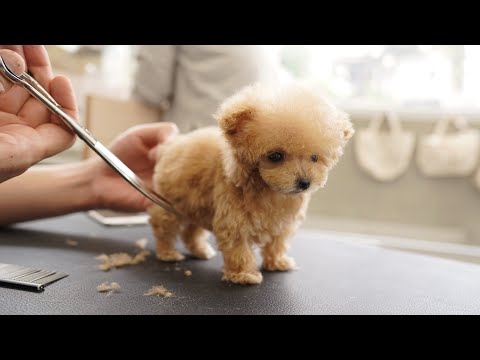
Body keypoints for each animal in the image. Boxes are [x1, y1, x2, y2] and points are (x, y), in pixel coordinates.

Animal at [148, 83, 354, 284]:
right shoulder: (234, 222)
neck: (271, 192)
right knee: (163, 227)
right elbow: (239, 251)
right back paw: (167, 252)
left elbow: (277, 244)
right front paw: (244, 275)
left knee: (191, 231)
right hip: (171, 205)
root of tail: (171, 146)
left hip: (198, 205)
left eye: (314, 157)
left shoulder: (283, 224)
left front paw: (277, 262)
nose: (304, 182)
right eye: (275, 156)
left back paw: (200, 250)